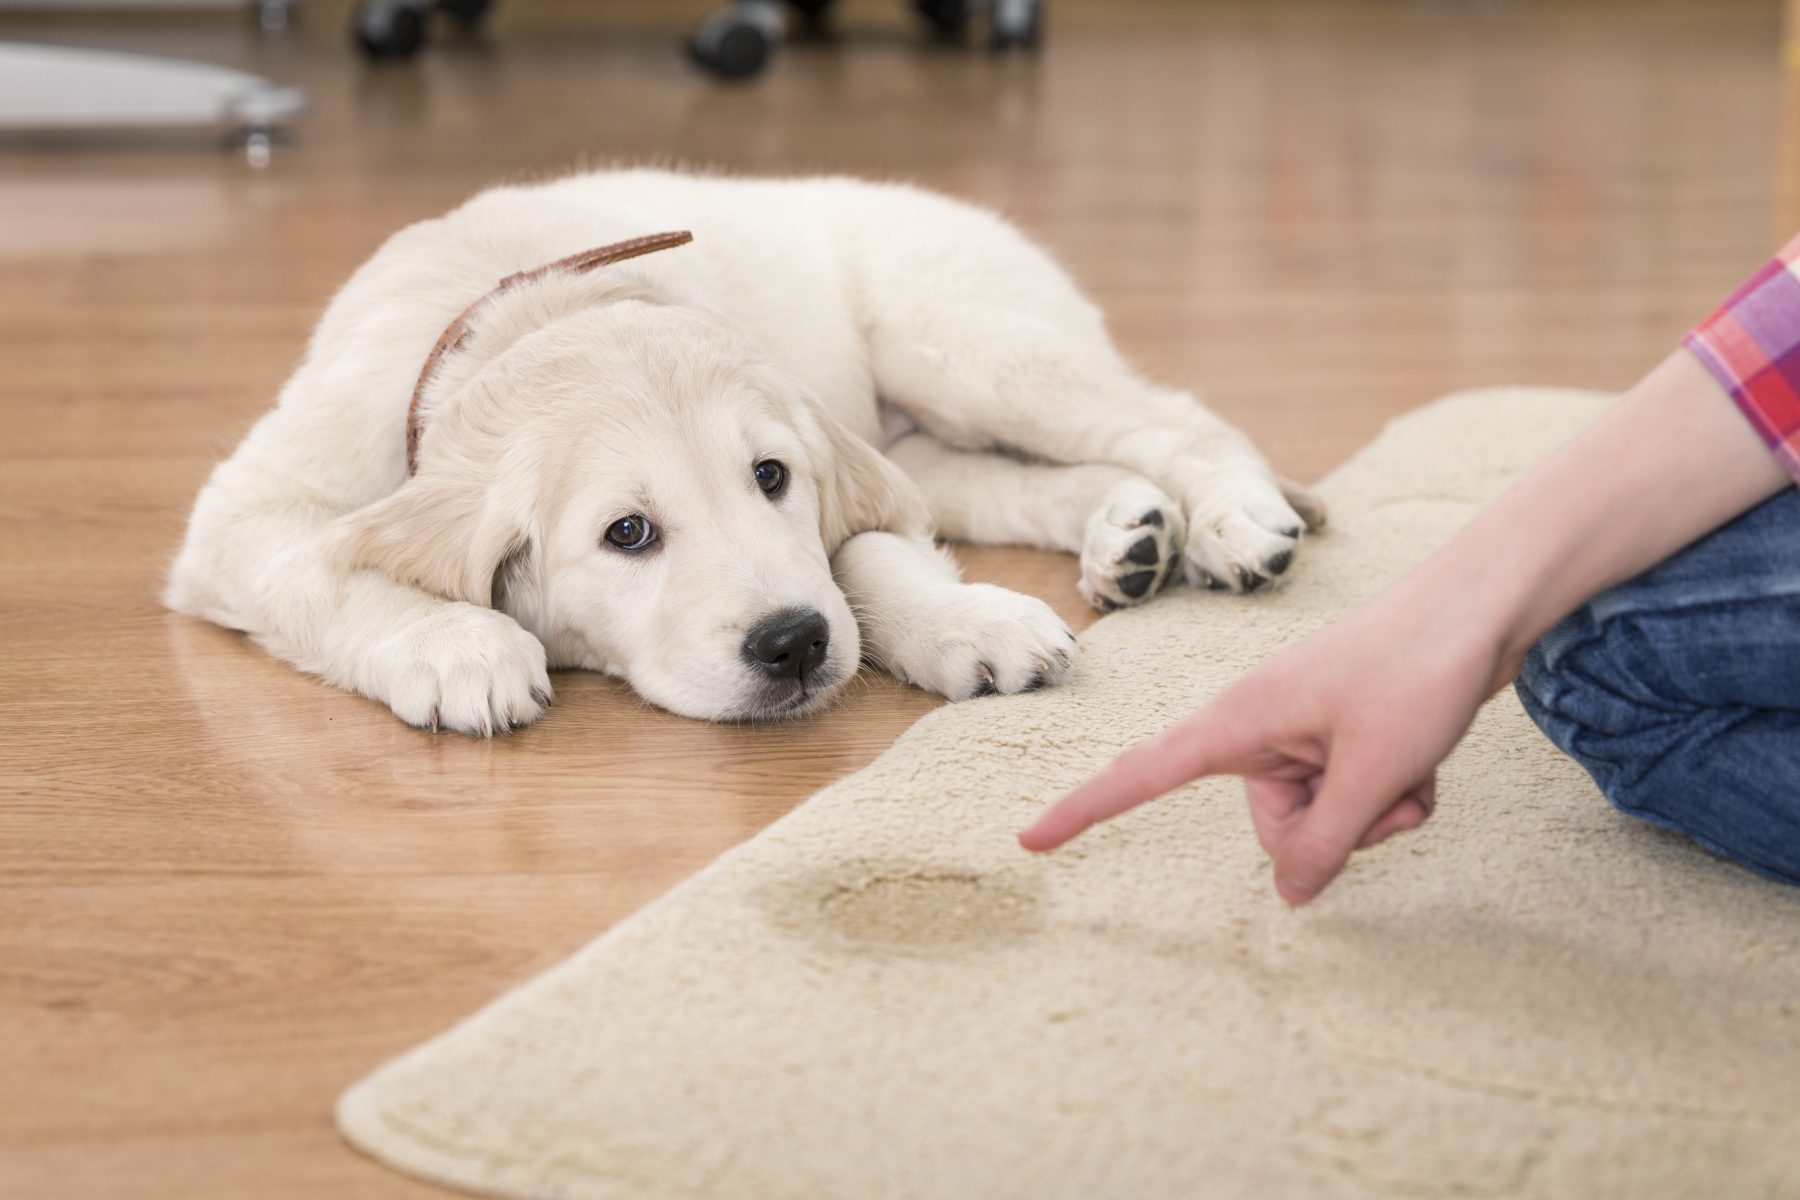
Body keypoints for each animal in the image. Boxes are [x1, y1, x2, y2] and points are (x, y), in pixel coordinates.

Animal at [169, 169, 1324, 734]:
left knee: (1173, 418)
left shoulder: (839, 468)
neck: (525, 308)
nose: (794, 645)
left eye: (771, 479)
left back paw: (1233, 522)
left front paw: (965, 620)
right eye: (627, 533)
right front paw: (458, 648)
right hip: (931, 431)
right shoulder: (246, 514)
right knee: (1014, 482)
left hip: (965, 345)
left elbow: (865, 554)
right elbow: (323, 570)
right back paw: (1129, 533)